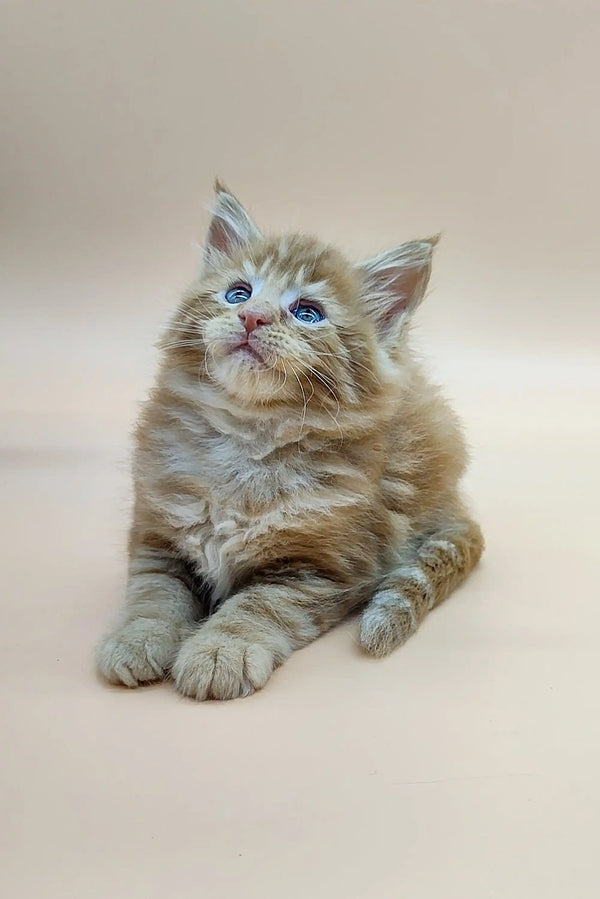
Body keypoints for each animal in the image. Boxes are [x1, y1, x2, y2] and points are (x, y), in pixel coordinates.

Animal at [96, 185, 486, 704]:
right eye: (238, 293)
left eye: (308, 313)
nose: (251, 316)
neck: (248, 439)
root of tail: (454, 499)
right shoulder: (158, 535)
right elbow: (154, 596)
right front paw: (135, 640)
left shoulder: (320, 567)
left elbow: (258, 607)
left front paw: (220, 652)